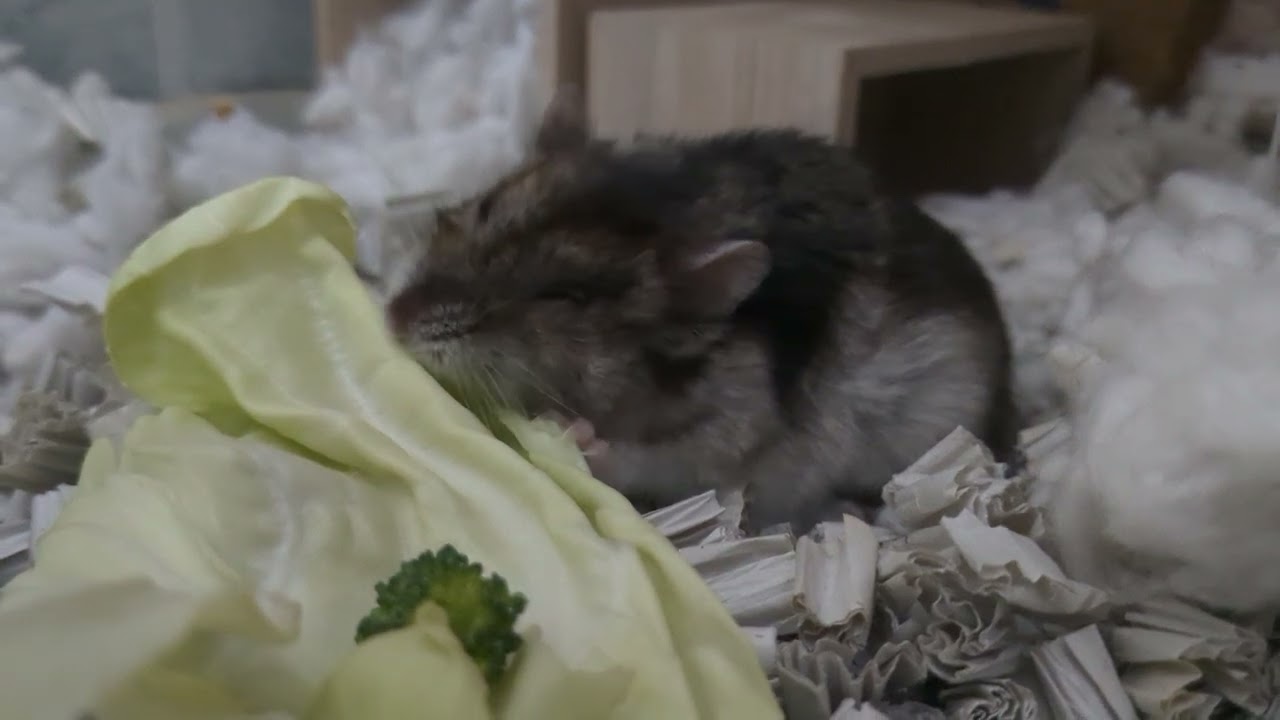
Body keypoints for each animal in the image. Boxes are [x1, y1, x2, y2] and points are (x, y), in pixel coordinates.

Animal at [386, 89, 1016, 534]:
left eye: (565, 298)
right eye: (483, 207)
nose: (394, 321)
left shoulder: (722, 438)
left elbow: (643, 459)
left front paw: (572, 431)